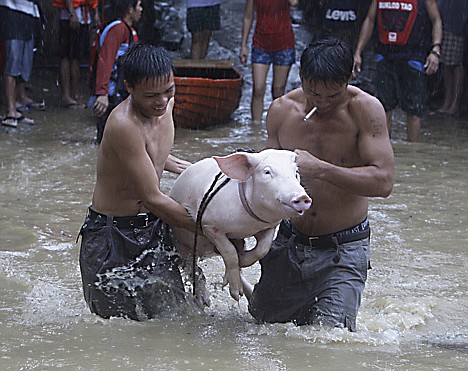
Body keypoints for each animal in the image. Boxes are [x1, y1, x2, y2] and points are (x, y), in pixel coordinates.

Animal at [168, 149, 310, 308]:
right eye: (267, 172)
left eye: (296, 172)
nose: (302, 197)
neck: (247, 225)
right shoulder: (209, 226)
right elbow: (230, 253)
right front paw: (235, 294)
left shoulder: (270, 226)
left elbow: (262, 249)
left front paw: (242, 259)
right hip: (181, 244)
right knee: (192, 268)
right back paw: (206, 301)